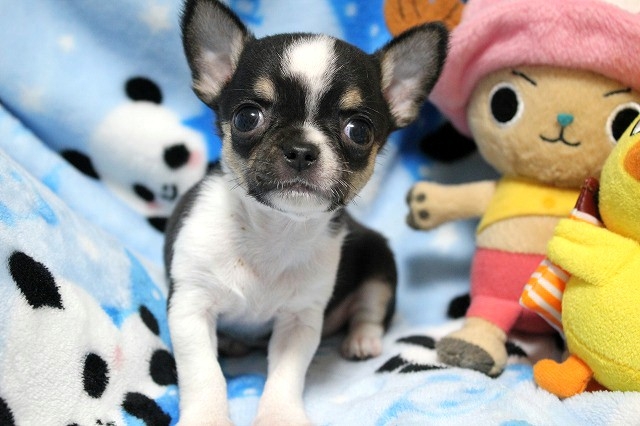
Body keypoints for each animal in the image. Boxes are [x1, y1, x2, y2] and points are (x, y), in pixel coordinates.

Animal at [164, 0, 448, 424]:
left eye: (359, 131)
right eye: (246, 118)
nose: (301, 149)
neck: (273, 231)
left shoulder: (299, 321)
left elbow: (285, 374)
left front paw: (279, 415)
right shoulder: (191, 307)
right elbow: (204, 374)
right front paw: (208, 418)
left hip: (380, 263)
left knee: (371, 308)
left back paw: (361, 340)